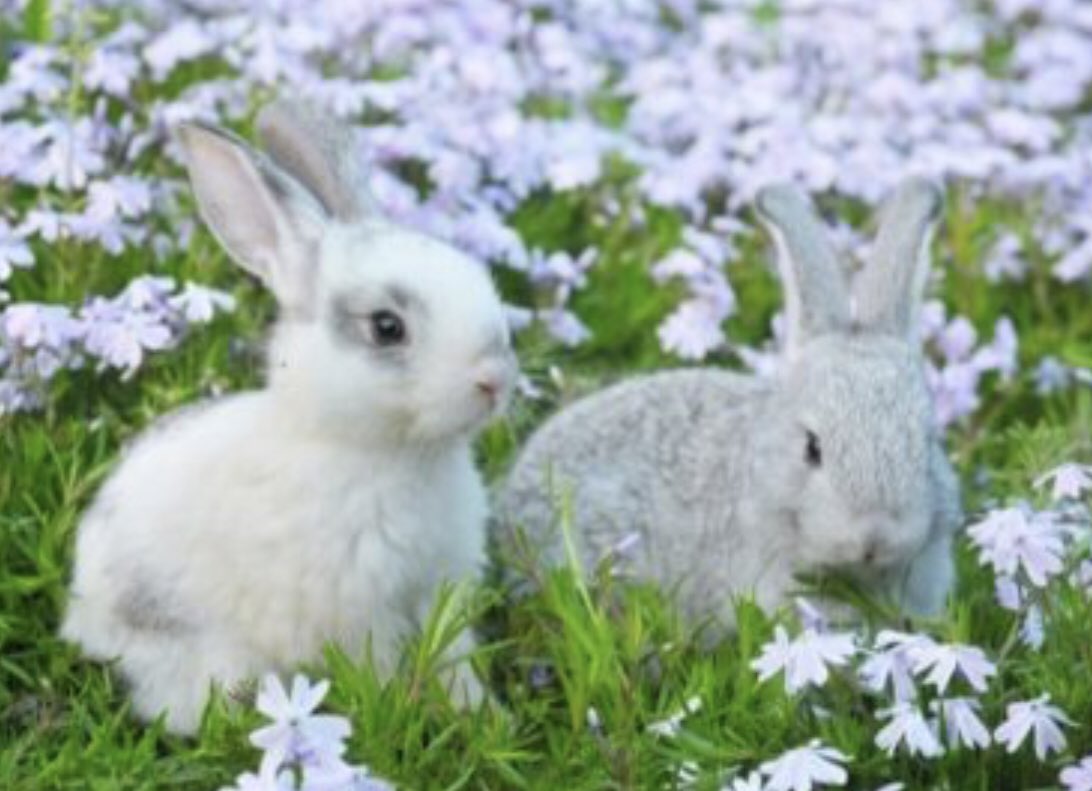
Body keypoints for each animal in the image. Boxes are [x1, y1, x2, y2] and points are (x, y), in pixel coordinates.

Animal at [61, 100, 518, 734]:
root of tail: (80, 616)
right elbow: (380, 668)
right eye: (387, 327)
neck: (386, 451)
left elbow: (456, 659)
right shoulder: (359, 612)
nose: (495, 379)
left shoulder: (442, 587)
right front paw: (398, 718)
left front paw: (485, 719)